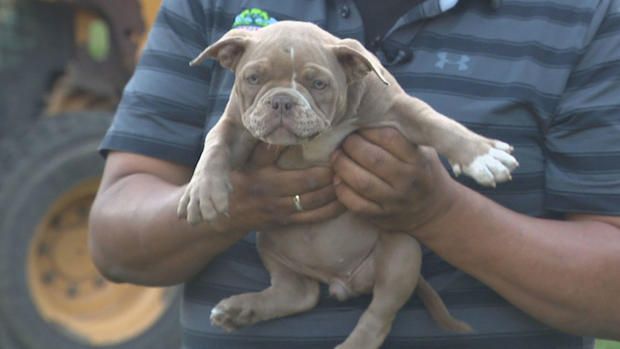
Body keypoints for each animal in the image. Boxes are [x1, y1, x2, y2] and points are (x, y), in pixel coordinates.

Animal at [178, 21, 520, 348]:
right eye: (252, 78)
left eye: (319, 84)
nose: (282, 101)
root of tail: (340, 280)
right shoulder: (237, 122)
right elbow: (216, 142)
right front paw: (202, 190)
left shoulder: (398, 108)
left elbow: (435, 122)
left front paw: (481, 154)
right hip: (270, 243)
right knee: (300, 293)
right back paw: (240, 310)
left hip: (403, 254)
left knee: (378, 315)